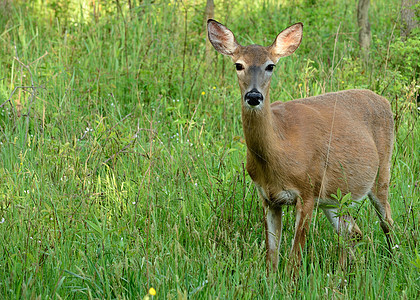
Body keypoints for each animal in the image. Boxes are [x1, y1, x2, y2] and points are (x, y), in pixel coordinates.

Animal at [208, 18, 396, 276]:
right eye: (238, 65)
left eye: (270, 66)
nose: (254, 96)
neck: (279, 151)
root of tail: (384, 100)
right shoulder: (268, 198)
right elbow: (272, 257)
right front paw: (271, 280)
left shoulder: (307, 191)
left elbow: (294, 258)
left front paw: (291, 282)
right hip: (334, 197)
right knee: (352, 233)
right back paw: (342, 275)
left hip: (381, 173)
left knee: (388, 223)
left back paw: (396, 261)